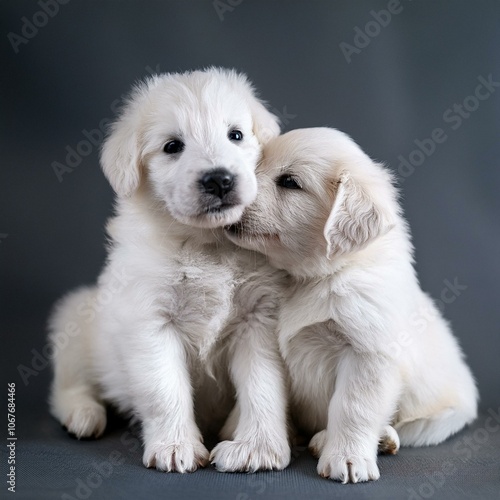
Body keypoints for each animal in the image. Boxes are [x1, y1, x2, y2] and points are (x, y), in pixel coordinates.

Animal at [47, 69, 292, 472]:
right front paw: (176, 446)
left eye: (236, 135)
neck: (207, 244)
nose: (219, 179)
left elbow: (263, 387)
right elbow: (165, 390)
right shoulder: (150, 320)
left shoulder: (259, 319)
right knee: (68, 387)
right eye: (173, 146)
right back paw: (83, 414)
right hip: (76, 325)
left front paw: (257, 447)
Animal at [225, 127, 478, 482]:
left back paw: (367, 439)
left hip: (438, 419)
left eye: (289, 181)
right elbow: (260, 393)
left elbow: (352, 407)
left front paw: (346, 458)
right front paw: (253, 448)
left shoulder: (368, 352)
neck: (311, 277)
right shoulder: (262, 334)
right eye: (255, 164)